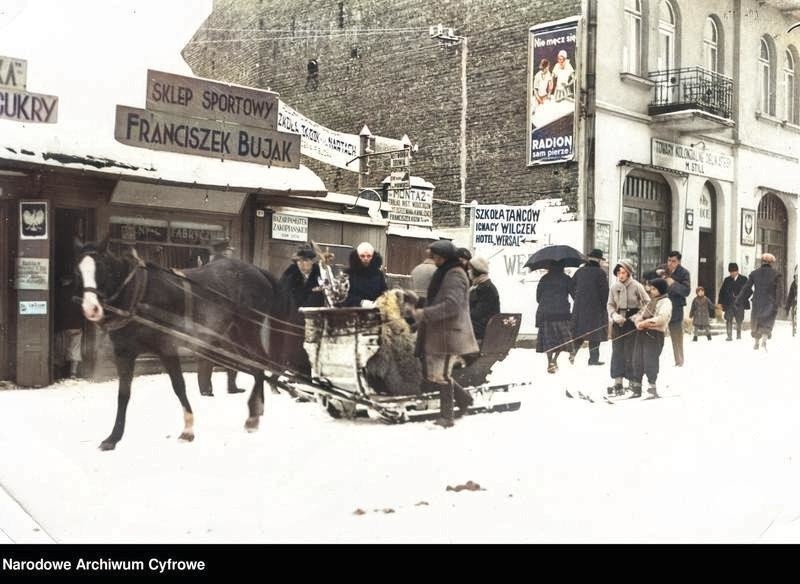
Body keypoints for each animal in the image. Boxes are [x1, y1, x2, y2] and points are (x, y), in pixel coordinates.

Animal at [76, 237, 288, 452]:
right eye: (78, 271)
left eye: (102, 267)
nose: (90, 309)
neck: (138, 295)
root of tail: (257, 270)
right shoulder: (124, 353)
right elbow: (123, 395)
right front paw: (113, 438)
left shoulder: (166, 348)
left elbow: (179, 386)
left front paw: (188, 430)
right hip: (234, 335)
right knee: (255, 367)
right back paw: (257, 410)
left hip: (248, 330)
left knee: (259, 366)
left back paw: (253, 417)